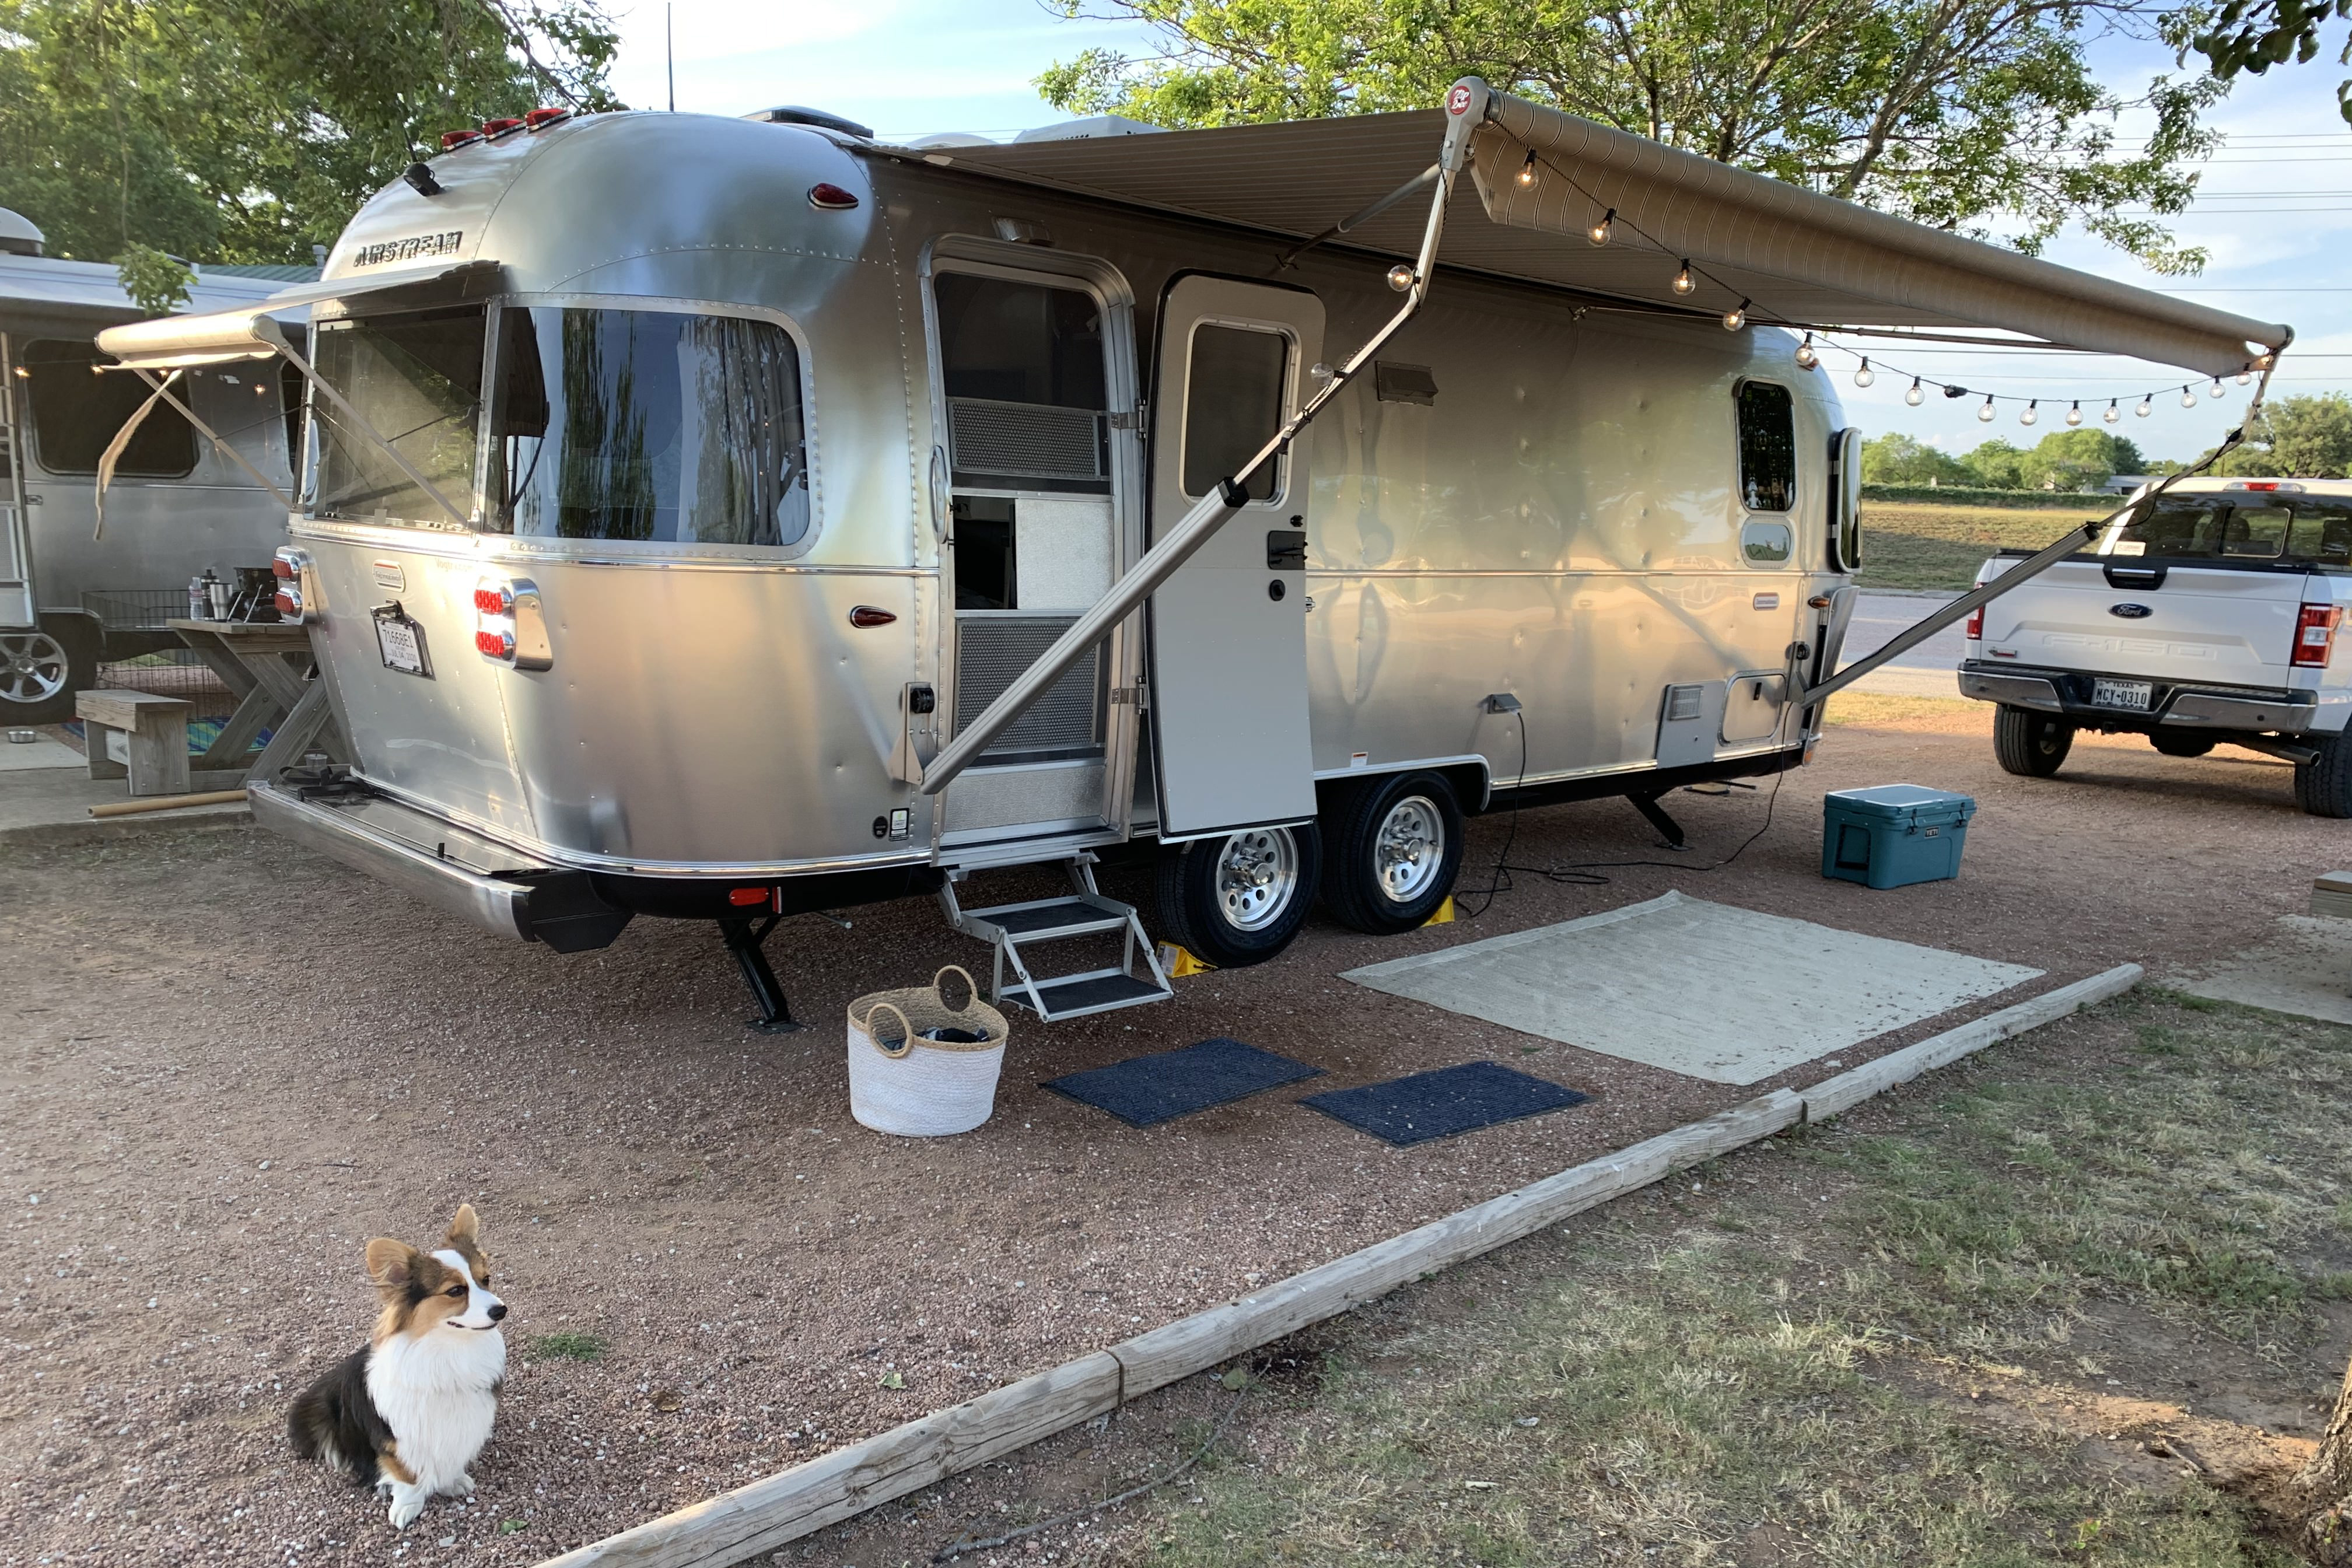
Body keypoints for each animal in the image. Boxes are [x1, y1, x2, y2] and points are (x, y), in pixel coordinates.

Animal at [286, 1213, 508, 1523]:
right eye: (455, 1291)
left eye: (485, 1280)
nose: (502, 1310)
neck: (449, 1351)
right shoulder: (395, 1438)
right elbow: (407, 1475)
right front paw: (406, 1506)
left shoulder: (460, 1427)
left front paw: (452, 1481)